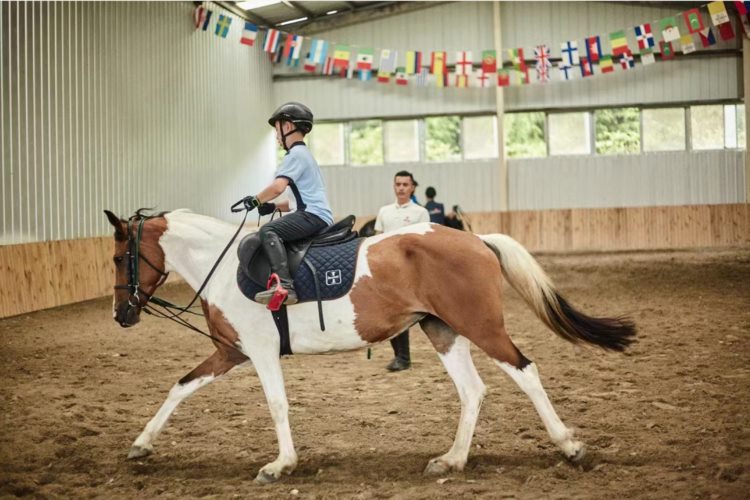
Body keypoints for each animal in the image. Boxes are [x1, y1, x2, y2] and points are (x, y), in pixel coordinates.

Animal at [104, 208, 636, 484]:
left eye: (116, 257)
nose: (120, 315)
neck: (220, 266)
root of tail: (476, 239)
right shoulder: (230, 352)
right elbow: (180, 387)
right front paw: (142, 444)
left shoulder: (258, 353)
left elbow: (277, 406)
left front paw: (280, 465)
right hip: (442, 330)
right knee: (473, 391)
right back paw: (452, 460)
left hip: (480, 326)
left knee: (526, 372)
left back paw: (570, 446)